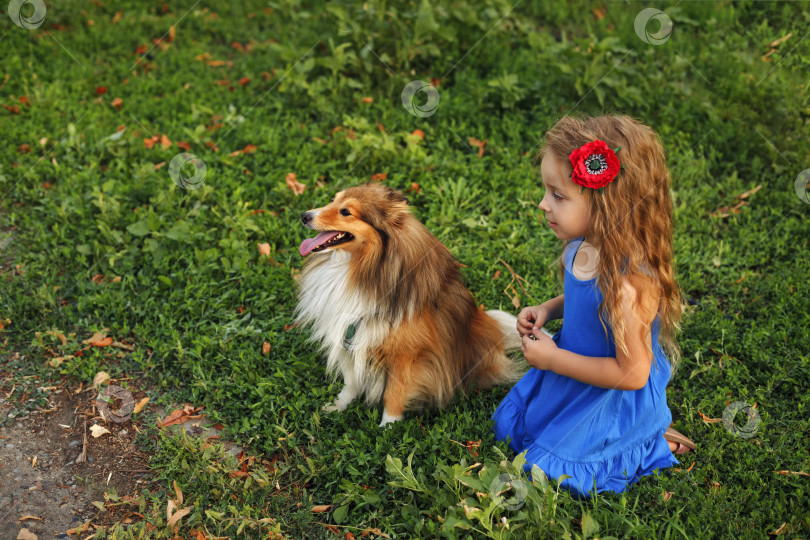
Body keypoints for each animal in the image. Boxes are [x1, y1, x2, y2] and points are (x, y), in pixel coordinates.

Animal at [296, 186, 524, 426]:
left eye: (346, 212)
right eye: (333, 200)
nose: (304, 215)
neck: (362, 268)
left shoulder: (406, 354)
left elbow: (394, 392)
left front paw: (388, 426)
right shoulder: (349, 335)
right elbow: (351, 381)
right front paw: (338, 406)